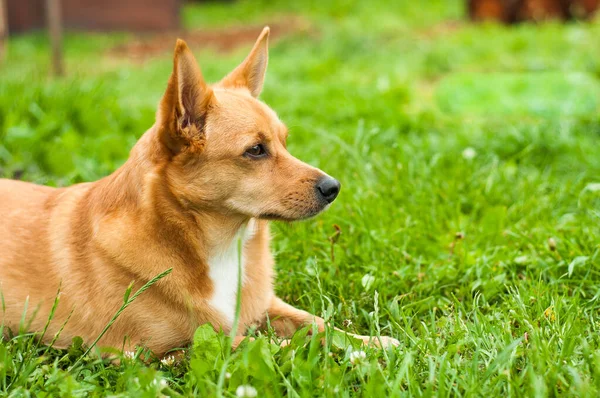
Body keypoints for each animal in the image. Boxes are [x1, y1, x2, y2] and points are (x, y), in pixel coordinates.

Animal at [0, 29, 398, 356]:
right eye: (256, 150)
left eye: (285, 143)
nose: (333, 188)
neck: (218, 243)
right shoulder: (163, 351)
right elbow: (281, 346)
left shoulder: (266, 305)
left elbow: (318, 325)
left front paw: (370, 342)